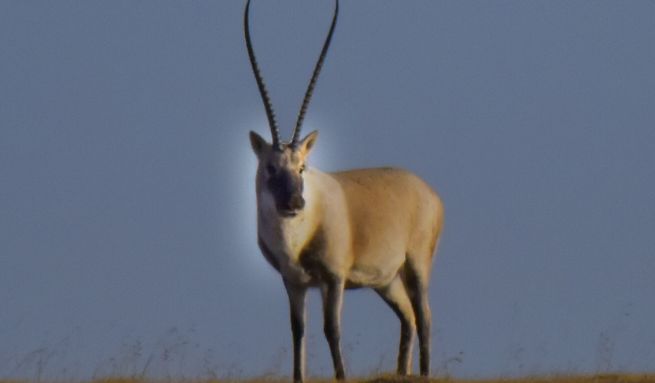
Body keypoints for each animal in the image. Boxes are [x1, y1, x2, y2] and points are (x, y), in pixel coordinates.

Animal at [243, 0, 444, 380]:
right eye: (271, 167)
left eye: (302, 167)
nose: (294, 202)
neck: (298, 234)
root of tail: (429, 193)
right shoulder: (294, 282)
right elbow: (298, 330)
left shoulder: (334, 279)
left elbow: (331, 329)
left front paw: (341, 375)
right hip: (386, 281)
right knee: (408, 318)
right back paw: (403, 371)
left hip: (416, 264)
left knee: (424, 317)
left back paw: (425, 373)